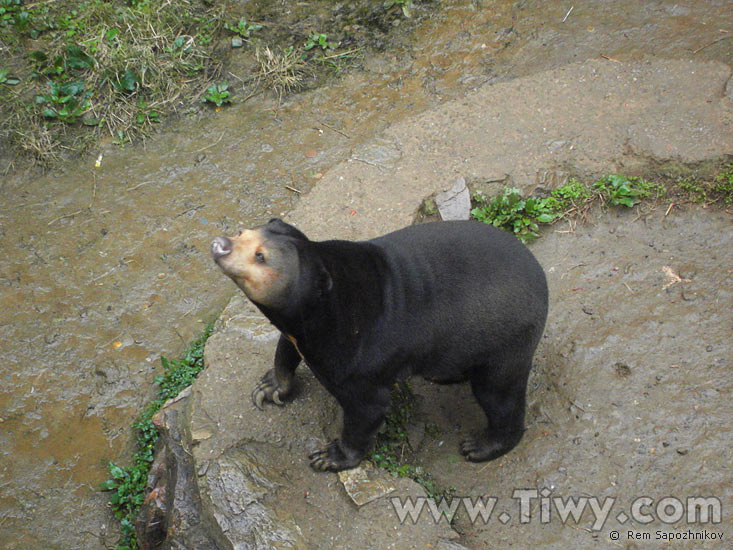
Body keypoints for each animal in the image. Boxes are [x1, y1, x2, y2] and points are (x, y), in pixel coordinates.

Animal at [209, 218, 548, 472]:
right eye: (241, 233)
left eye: (260, 257)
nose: (220, 244)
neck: (317, 310)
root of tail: (542, 280)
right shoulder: (300, 330)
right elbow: (286, 348)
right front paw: (270, 388)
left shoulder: (356, 357)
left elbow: (367, 409)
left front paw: (330, 456)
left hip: (505, 342)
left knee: (500, 396)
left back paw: (480, 446)